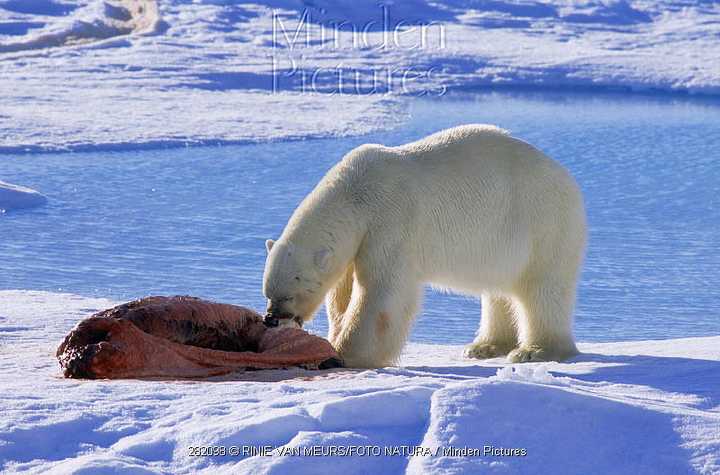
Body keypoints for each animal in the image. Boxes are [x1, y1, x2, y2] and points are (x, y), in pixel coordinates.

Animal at [262, 124, 584, 370]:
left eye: (289, 295)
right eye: (268, 293)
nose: (270, 319)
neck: (356, 194)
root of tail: (568, 179)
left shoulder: (389, 222)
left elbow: (381, 294)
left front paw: (343, 355)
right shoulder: (359, 240)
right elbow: (342, 292)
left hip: (542, 223)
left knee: (542, 288)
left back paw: (534, 351)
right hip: (503, 243)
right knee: (499, 290)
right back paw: (484, 346)